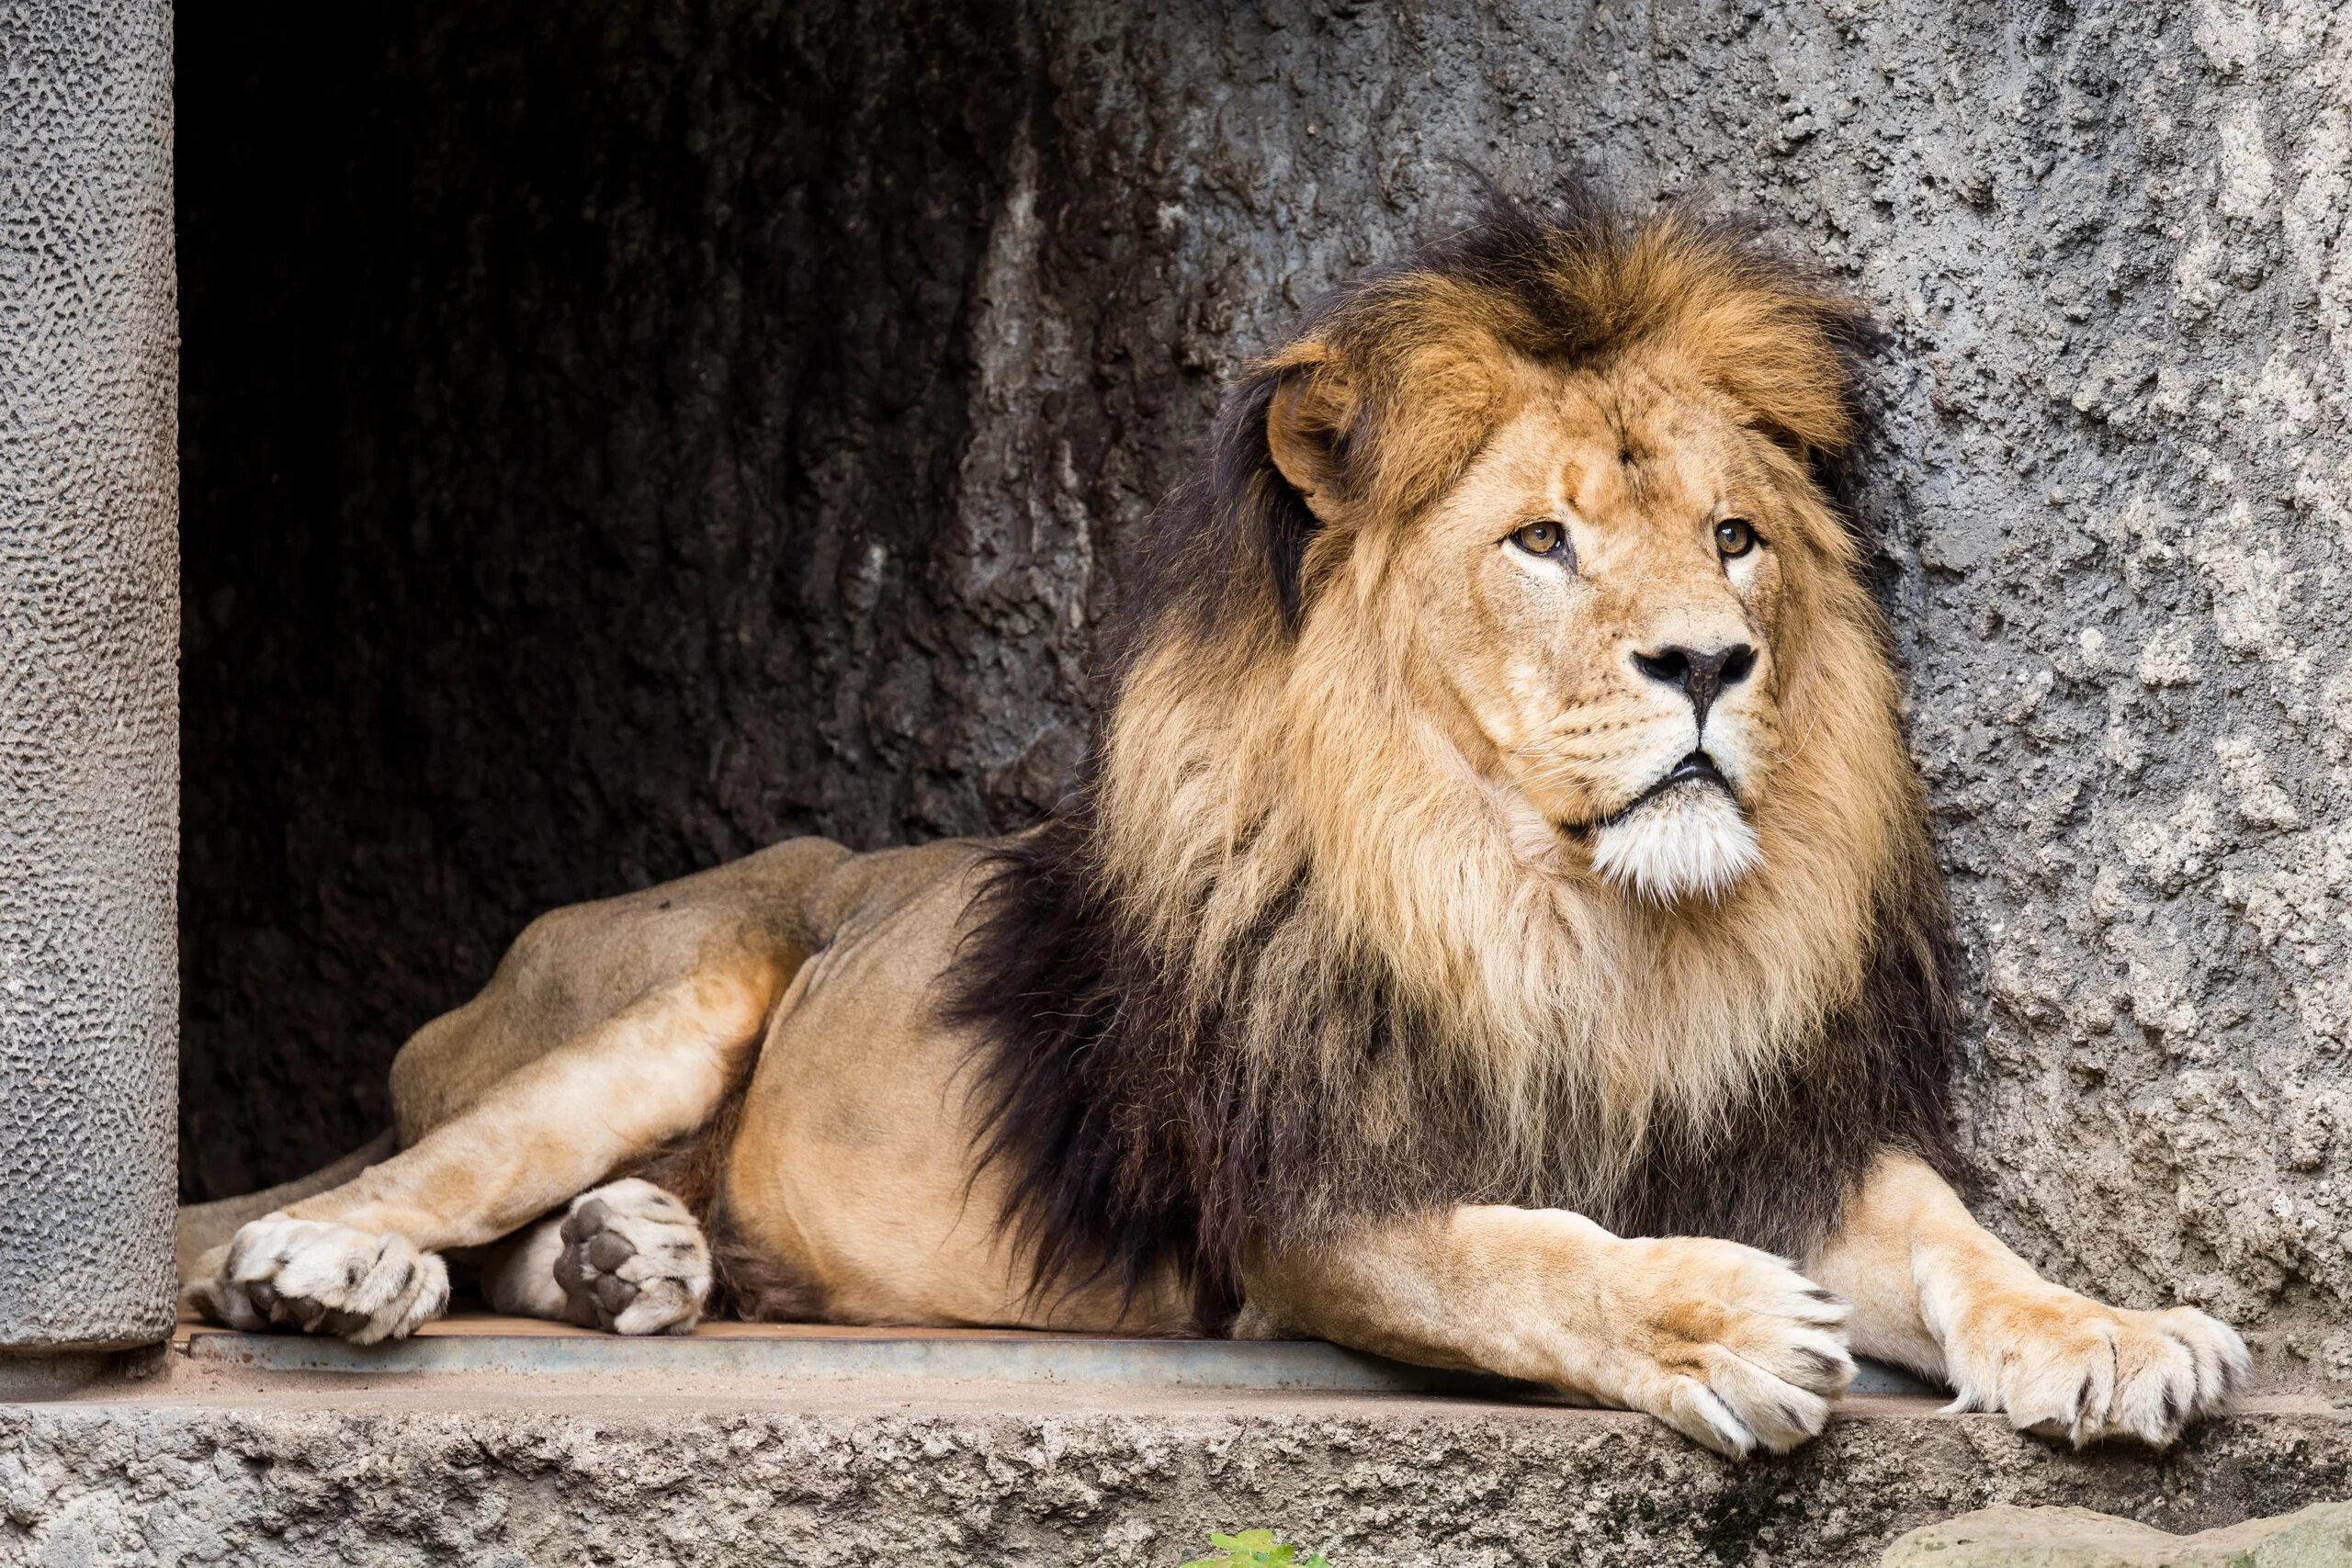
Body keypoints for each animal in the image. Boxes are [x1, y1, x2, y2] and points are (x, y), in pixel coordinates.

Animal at [178, 192, 2239, 1457]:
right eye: (1541, 539)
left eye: (1734, 535)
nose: (1710, 664)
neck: (1575, 923)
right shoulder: (1308, 1199)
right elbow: (1522, 1255)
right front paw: (1718, 1327)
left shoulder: (1767, 1127)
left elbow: (1956, 1234)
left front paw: (2112, 1327)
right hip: (683, 983)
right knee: (397, 1177)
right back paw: (330, 1269)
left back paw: (632, 1262)